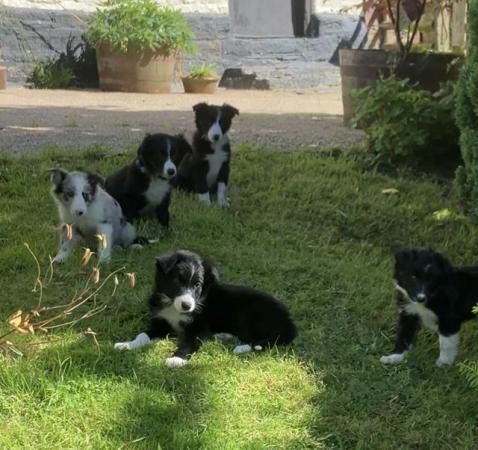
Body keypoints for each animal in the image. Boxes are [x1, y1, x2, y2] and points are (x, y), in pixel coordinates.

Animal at [114, 248, 296, 368]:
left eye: (197, 285)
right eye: (178, 280)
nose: (187, 306)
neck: (173, 306)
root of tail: (289, 323)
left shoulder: (198, 327)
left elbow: (188, 342)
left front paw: (177, 359)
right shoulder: (161, 323)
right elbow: (143, 335)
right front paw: (127, 344)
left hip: (249, 314)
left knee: (262, 341)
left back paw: (239, 346)